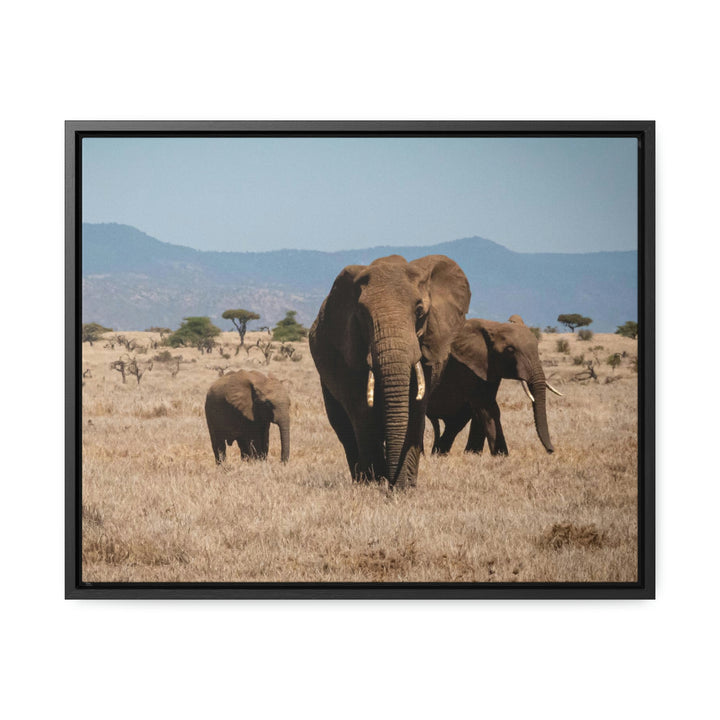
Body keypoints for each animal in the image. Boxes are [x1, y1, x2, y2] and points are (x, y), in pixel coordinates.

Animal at [310, 255, 472, 490]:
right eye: (362, 314)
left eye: (419, 310)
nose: (392, 484)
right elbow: (362, 413)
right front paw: (375, 484)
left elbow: (415, 410)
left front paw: (404, 487)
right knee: (344, 428)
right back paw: (360, 480)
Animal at [428, 316, 564, 452]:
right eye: (510, 350)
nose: (551, 450)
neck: (493, 326)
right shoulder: (467, 368)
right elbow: (486, 408)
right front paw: (500, 455)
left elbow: (487, 408)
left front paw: (474, 454)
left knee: (455, 424)